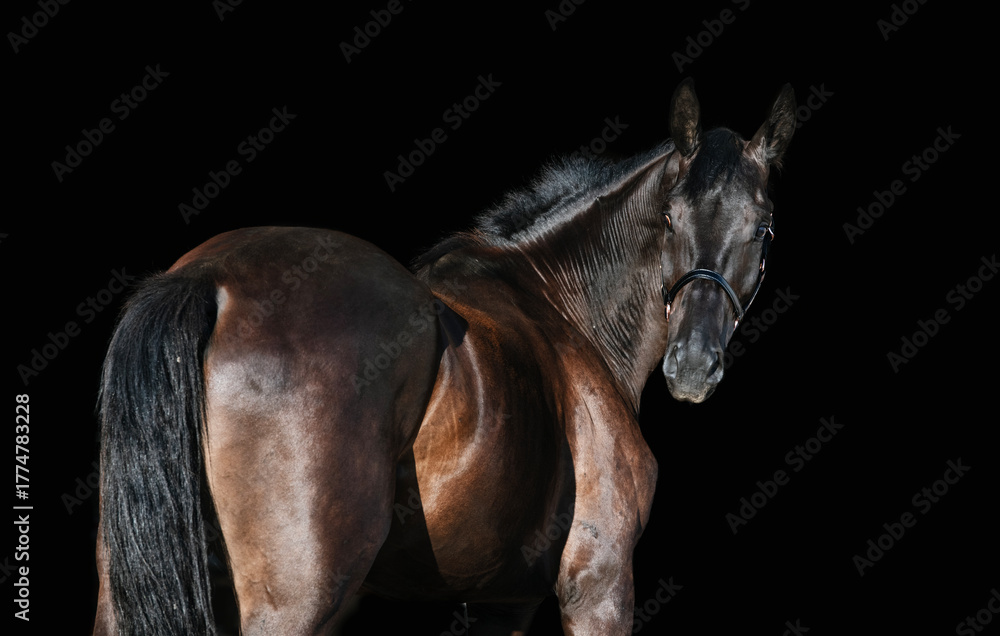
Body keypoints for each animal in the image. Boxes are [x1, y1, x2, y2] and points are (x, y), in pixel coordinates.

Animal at [92, 78, 796, 635]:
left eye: (763, 228)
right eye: (671, 218)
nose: (694, 364)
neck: (564, 308)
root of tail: (209, 279)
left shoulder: (500, 602)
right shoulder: (599, 587)